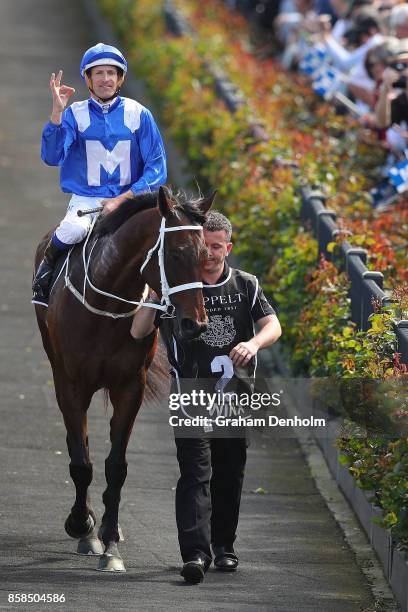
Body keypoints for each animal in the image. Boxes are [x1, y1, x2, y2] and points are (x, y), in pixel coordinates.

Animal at [32, 188, 214, 572]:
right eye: (175, 254)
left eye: (206, 255)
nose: (196, 324)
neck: (107, 302)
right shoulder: (70, 384)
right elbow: (81, 461)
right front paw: (82, 525)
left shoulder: (131, 386)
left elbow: (116, 466)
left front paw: (111, 543)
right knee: (79, 446)